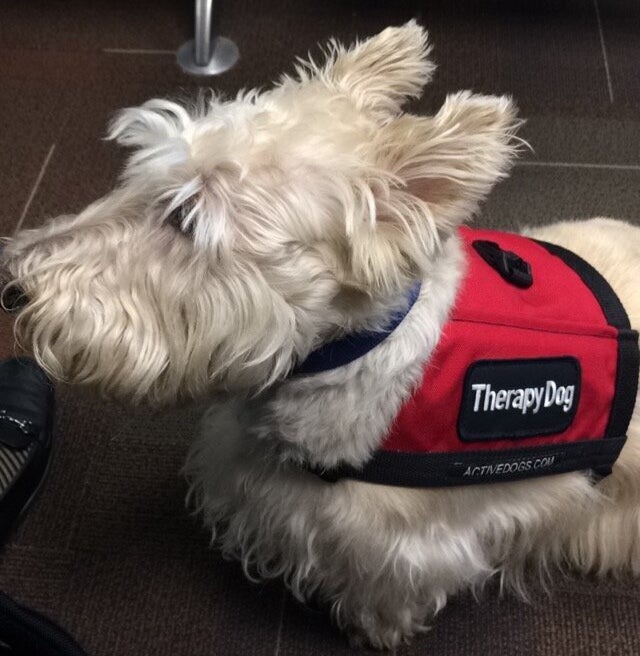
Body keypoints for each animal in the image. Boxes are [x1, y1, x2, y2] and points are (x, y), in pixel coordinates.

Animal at [3, 21, 640, 652]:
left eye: (185, 219)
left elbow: (386, 591)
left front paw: (373, 631)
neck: (350, 348)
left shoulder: (409, 543)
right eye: (137, 173)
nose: (13, 288)